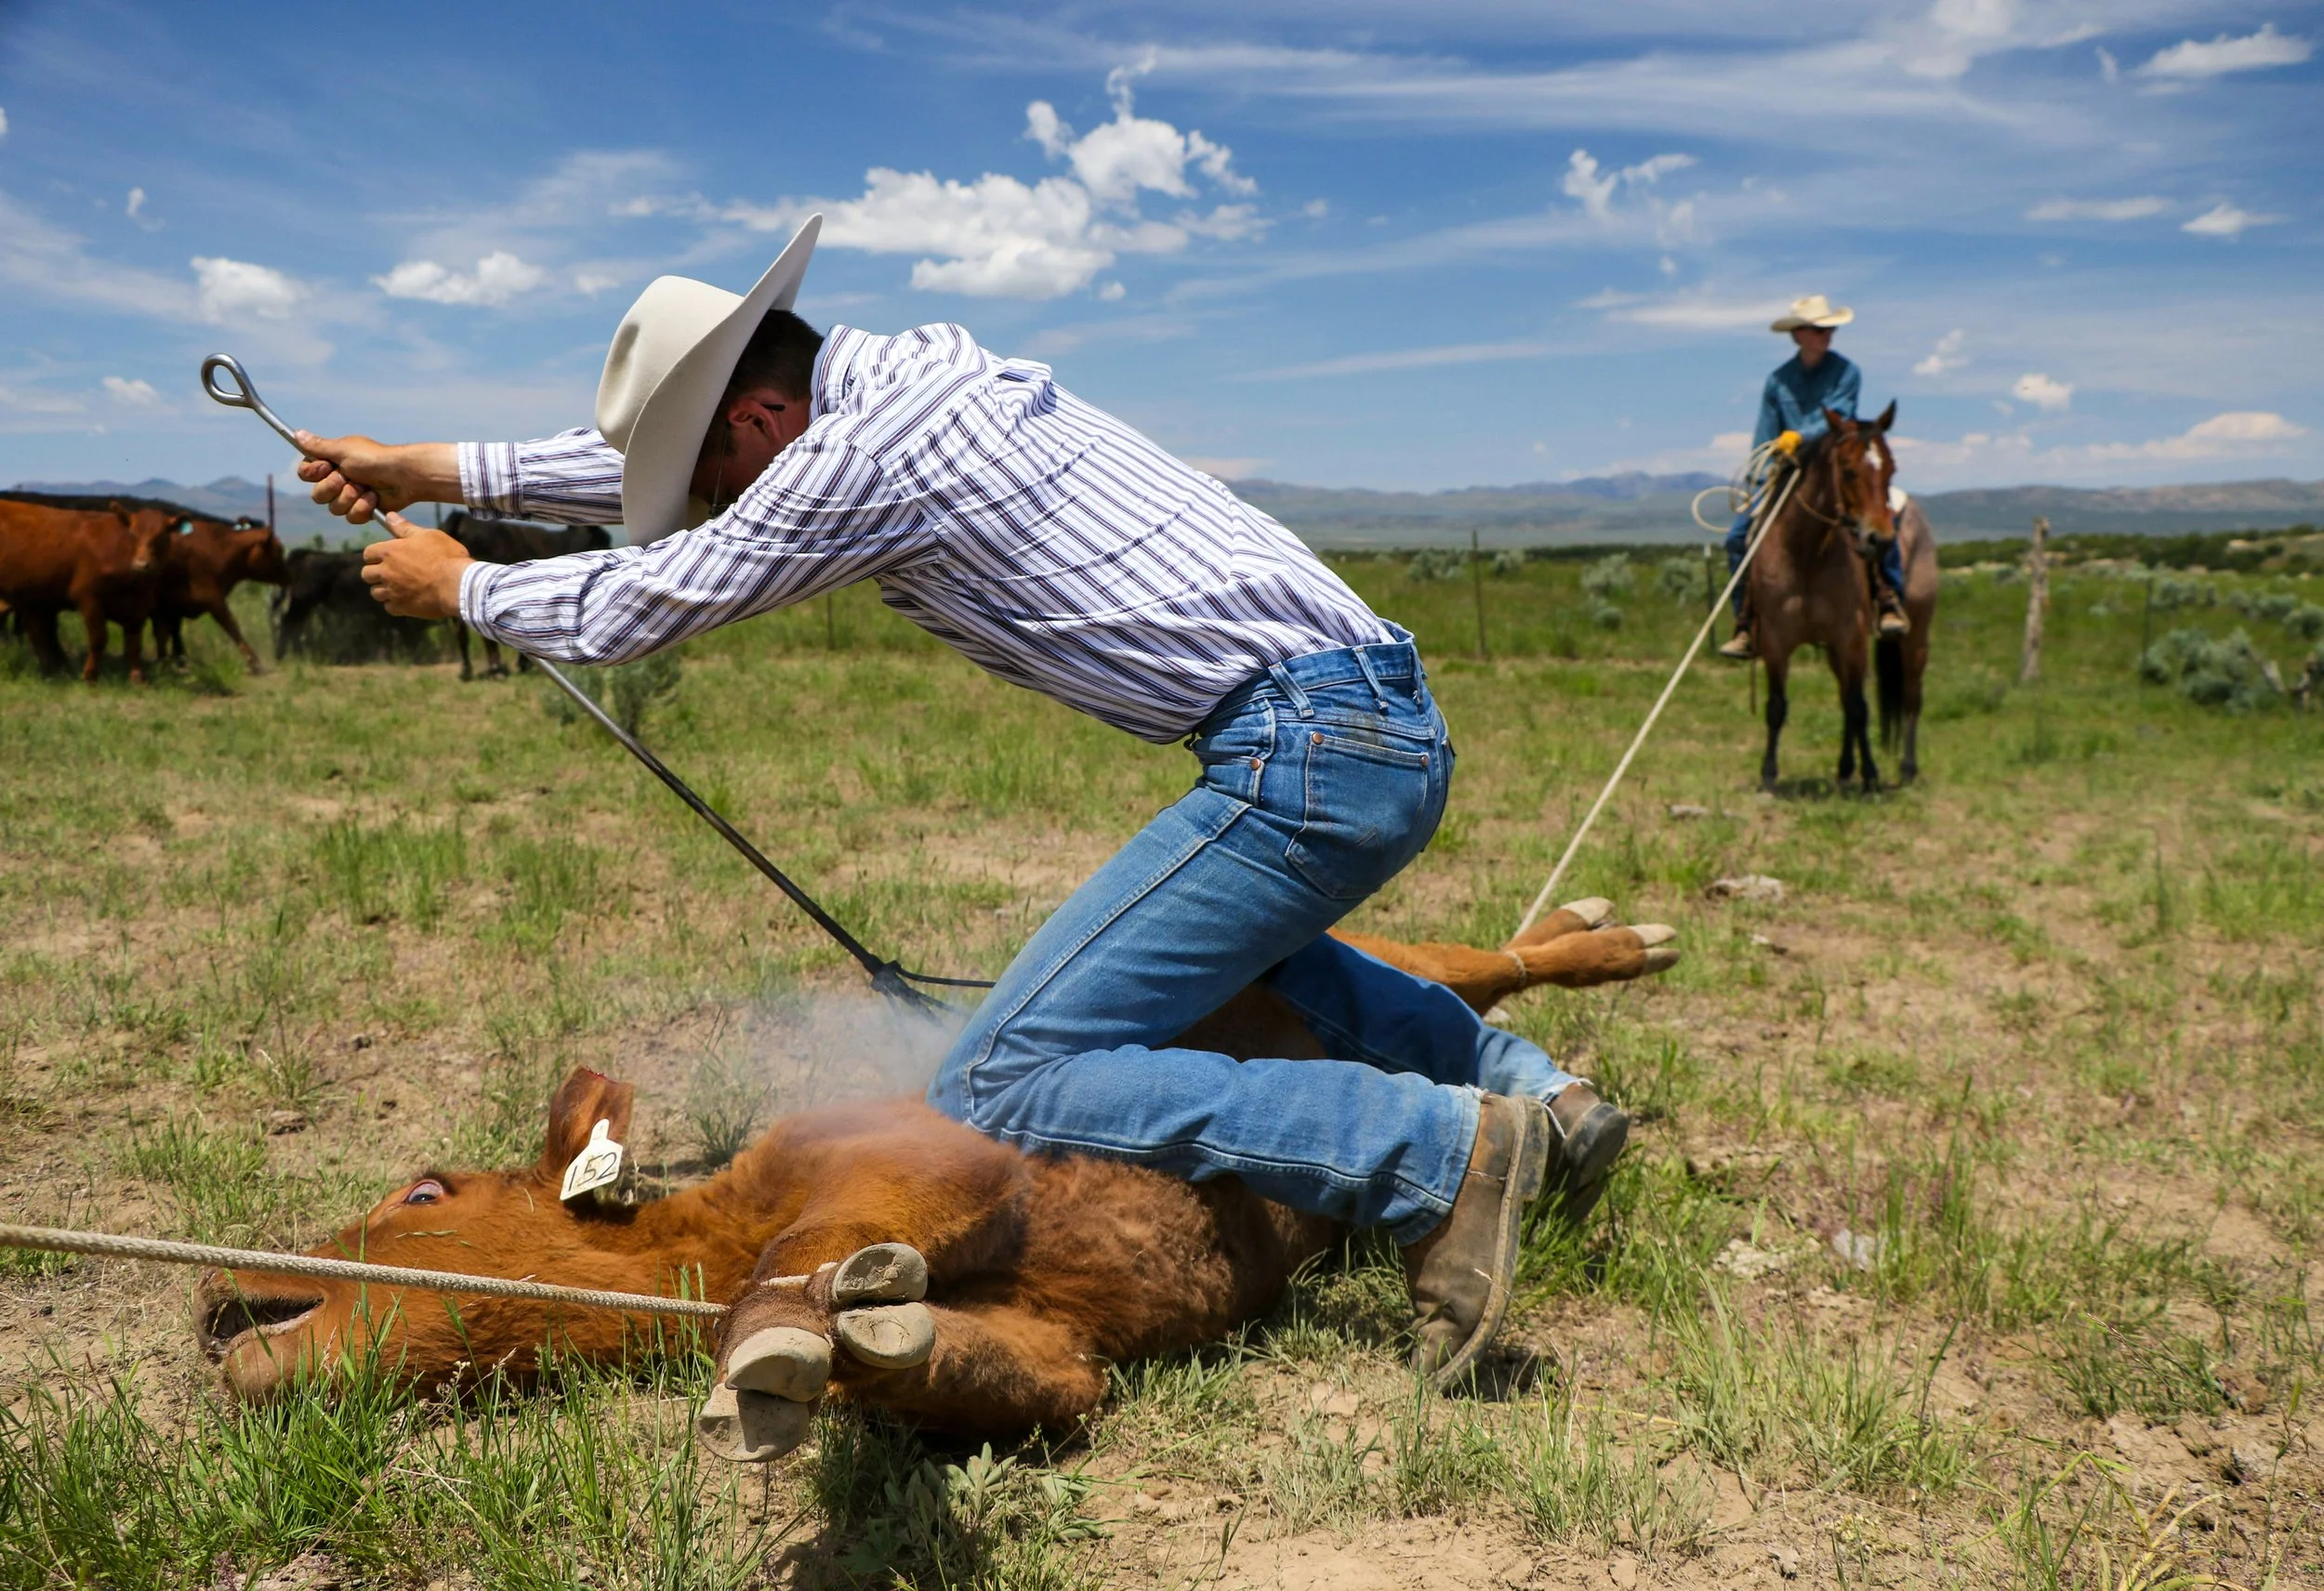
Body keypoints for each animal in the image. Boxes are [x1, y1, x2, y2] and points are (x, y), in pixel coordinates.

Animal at [0, 495, 178, 682]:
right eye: (133, 534)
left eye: (163, 535)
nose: (142, 564)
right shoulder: (89, 597)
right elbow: (99, 638)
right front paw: (90, 676)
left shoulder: (139, 607)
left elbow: (134, 643)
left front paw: (137, 678)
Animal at [154, 515, 291, 671]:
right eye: (280, 549)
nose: (289, 576)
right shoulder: (212, 600)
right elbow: (233, 627)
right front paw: (255, 663)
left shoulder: (170, 607)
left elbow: (168, 633)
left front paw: (174, 661)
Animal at [195, 901, 1680, 1462]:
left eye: (423, 1192)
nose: (211, 1289)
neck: (700, 1240)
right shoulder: (1061, 1346)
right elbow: (985, 1378)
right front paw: (844, 1346)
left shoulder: (914, 1157)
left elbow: (820, 1249)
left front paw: (785, 1328)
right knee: (1466, 1004)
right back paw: (1573, 1098)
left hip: (1371, 960)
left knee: (1478, 962)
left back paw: (1621, 944)